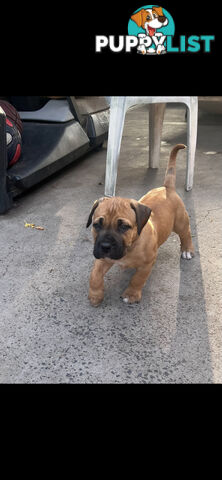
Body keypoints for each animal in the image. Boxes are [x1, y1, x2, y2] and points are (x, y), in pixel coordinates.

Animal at [86, 144, 194, 306]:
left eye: (124, 227)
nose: (105, 246)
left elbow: (138, 279)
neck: (131, 246)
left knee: (186, 233)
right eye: (97, 225)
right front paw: (95, 295)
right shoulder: (103, 259)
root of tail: (167, 188)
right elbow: (95, 275)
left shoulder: (147, 264)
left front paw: (131, 294)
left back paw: (187, 250)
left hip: (180, 222)